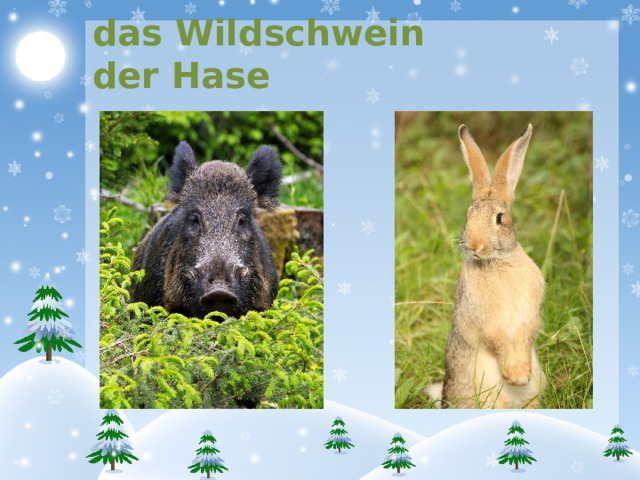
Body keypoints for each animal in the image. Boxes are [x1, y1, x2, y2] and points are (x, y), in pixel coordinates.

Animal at [439, 123, 547, 409]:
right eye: (468, 216)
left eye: (499, 218)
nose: (474, 245)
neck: (497, 262)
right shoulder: (486, 319)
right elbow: (497, 340)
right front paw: (516, 375)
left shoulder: (529, 313)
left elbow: (525, 335)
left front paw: (520, 375)